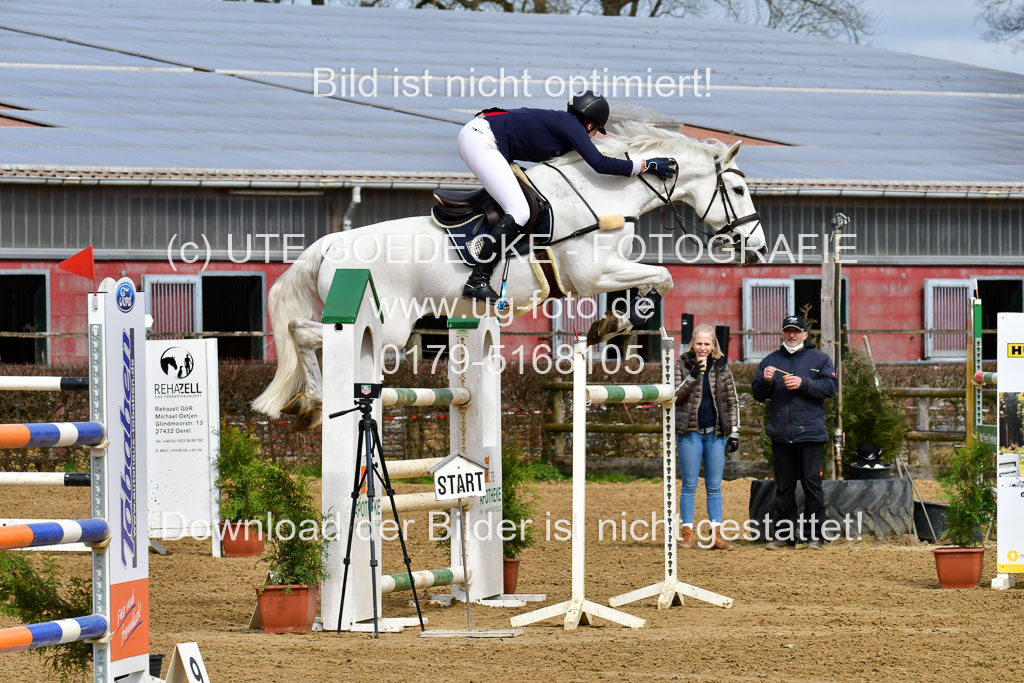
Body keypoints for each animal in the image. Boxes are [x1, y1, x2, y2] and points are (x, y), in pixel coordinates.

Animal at [251, 122, 765, 428]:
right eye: (739, 190)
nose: (758, 248)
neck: (602, 195)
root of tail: (328, 244)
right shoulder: (593, 275)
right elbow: (662, 279)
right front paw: (613, 324)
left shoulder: (606, 271)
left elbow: (653, 281)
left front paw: (608, 325)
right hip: (386, 324)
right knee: (303, 331)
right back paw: (313, 402)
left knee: (301, 331)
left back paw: (307, 404)